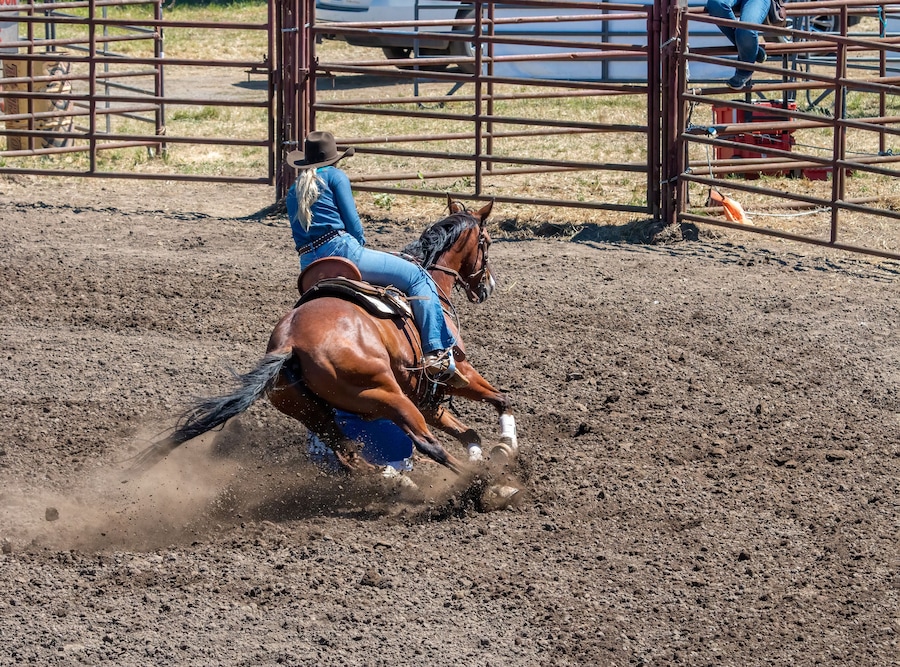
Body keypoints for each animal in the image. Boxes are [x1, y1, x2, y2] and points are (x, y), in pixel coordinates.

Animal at [126, 198, 516, 479]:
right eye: (486, 242)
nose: (487, 286)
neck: (432, 280)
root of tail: (290, 345)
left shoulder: (426, 396)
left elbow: (470, 433)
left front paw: (486, 451)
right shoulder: (455, 372)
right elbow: (501, 399)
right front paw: (505, 448)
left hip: (313, 412)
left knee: (349, 455)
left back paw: (397, 481)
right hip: (386, 397)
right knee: (425, 445)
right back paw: (483, 486)